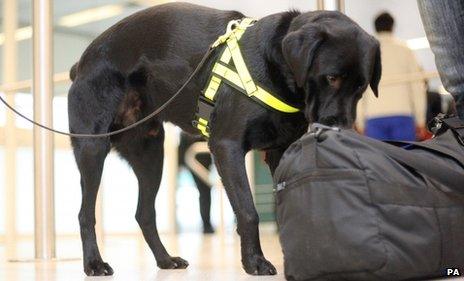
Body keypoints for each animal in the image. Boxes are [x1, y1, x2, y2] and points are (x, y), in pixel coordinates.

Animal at [69, 2, 380, 276]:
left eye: (362, 86)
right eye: (331, 78)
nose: (341, 127)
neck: (274, 66)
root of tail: (82, 62)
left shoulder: (278, 152)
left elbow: (283, 207)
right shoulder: (226, 147)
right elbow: (248, 210)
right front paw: (254, 262)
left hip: (151, 155)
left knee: (144, 213)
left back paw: (165, 260)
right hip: (92, 148)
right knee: (85, 213)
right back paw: (94, 263)